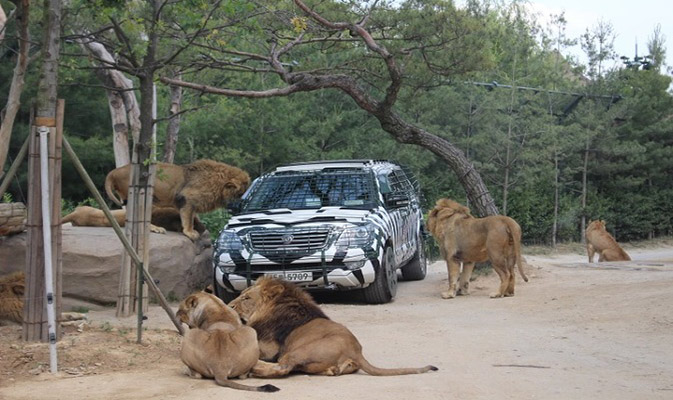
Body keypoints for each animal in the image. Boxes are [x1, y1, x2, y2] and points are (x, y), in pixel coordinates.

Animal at [105, 159, 249, 241]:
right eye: (240, 193)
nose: (243, 204)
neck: (218, 184)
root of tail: (114, 171)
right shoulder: (187, 198)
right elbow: (188, 219)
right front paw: (190, 233)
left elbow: (191, 218)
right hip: (142, 196)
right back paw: (155, 228)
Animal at [228, 276, 438, 376]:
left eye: (246, 298)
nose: (229, 305)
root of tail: (356, 351)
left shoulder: (270, 348)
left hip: (296, 351)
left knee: (283, 367)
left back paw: (255, 369)